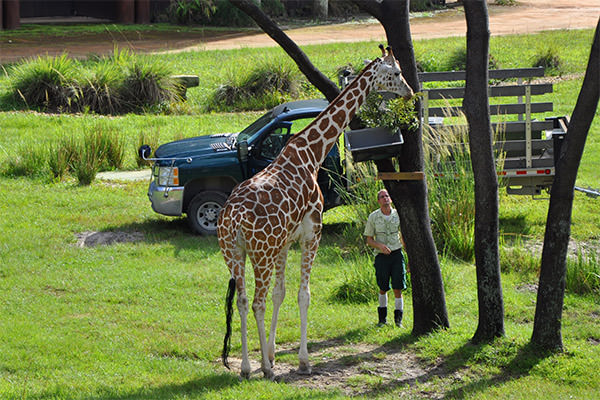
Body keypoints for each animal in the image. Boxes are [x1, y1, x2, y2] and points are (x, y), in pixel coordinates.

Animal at [219, 45, 412, 380]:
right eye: (397, 72)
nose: (410, 92)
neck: (311, 154)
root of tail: (233, 220)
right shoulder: (312, 233)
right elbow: (304, 294)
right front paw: (302, 361)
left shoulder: (285, 241)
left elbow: (281, 293)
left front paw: (272, 353)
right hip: (260, 253)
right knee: (255, 302)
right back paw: (265, 369)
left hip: (234, 253)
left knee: (243, 301)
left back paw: (245, 367)